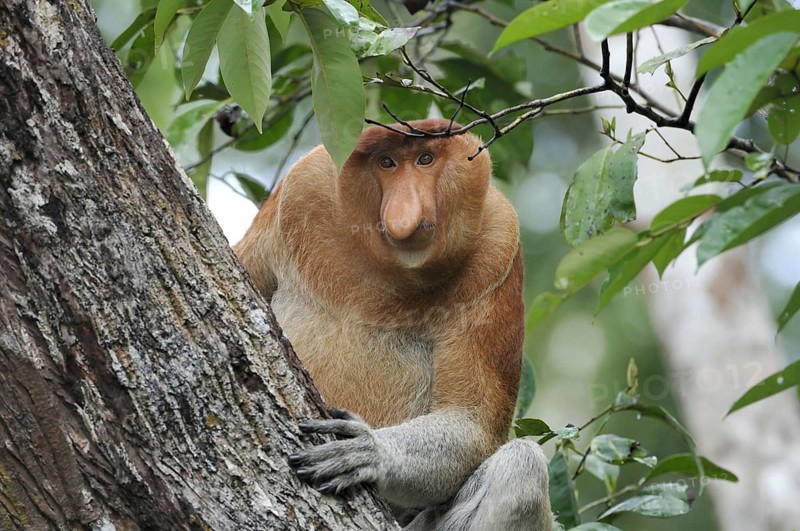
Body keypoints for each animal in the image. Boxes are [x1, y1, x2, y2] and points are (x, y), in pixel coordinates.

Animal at [234, 118, 552, 530]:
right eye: (386, 163)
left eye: (425, 159)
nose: (403, 216)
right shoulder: (302, 186)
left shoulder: (499, 248)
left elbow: (473, 420)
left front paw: (370, 451)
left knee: (522, 464)